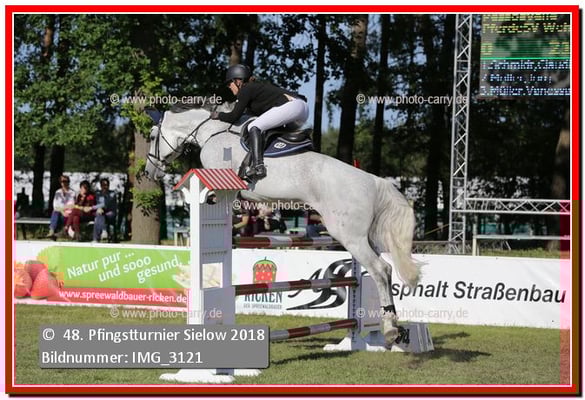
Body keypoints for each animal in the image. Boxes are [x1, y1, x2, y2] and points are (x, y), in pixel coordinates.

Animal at [144, 101, 421, 347]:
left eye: (152, 135)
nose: (148, 173)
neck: (211, 131)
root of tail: (374, 181)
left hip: (350, 237)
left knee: (380, 270)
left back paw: (390, 329)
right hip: (366, 238)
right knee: (384, 269)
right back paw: (391, 329)